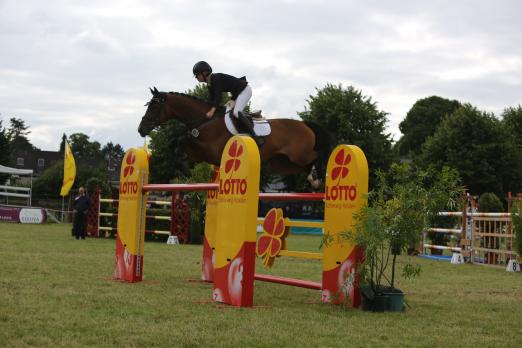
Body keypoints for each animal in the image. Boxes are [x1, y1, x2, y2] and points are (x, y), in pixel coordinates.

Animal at [136, 87, 328, 188]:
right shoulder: (200, 153)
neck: (205, 119)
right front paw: (182, 164)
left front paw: (183, 166)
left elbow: (183, 139)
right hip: (284, 164)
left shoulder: (211, 151)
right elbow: (179, 142)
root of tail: (305, 124)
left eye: (153, 107)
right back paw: (314, 179)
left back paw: (318, 177)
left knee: (318, 155)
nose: (141, 129)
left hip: (299, 155)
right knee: (305, 166)